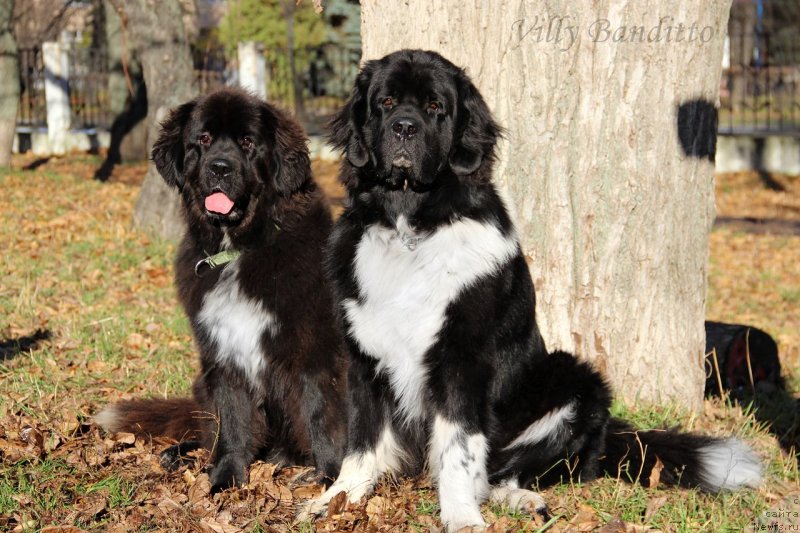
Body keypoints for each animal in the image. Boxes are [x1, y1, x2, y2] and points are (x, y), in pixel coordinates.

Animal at [95, 87, 346, 490]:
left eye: (247, 142)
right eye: (204, 139)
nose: (220, 168)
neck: (238, 249)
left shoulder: (315, 352)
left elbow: (321, 412)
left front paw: (330, 479)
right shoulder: (222, 353)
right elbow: (231, 420)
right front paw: (225, 476)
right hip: (201, 383)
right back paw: (181, 454)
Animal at [300, 48, 764, 528]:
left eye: (434, 107)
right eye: (386, 102)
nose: (404, 127)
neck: (412, 225)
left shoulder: (460, 358)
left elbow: (456, 448)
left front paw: (461, 517)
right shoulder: (365, 355)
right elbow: (361, 441)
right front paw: (338, 499)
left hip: (575, 382)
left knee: (508, 470)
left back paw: (521, 500)